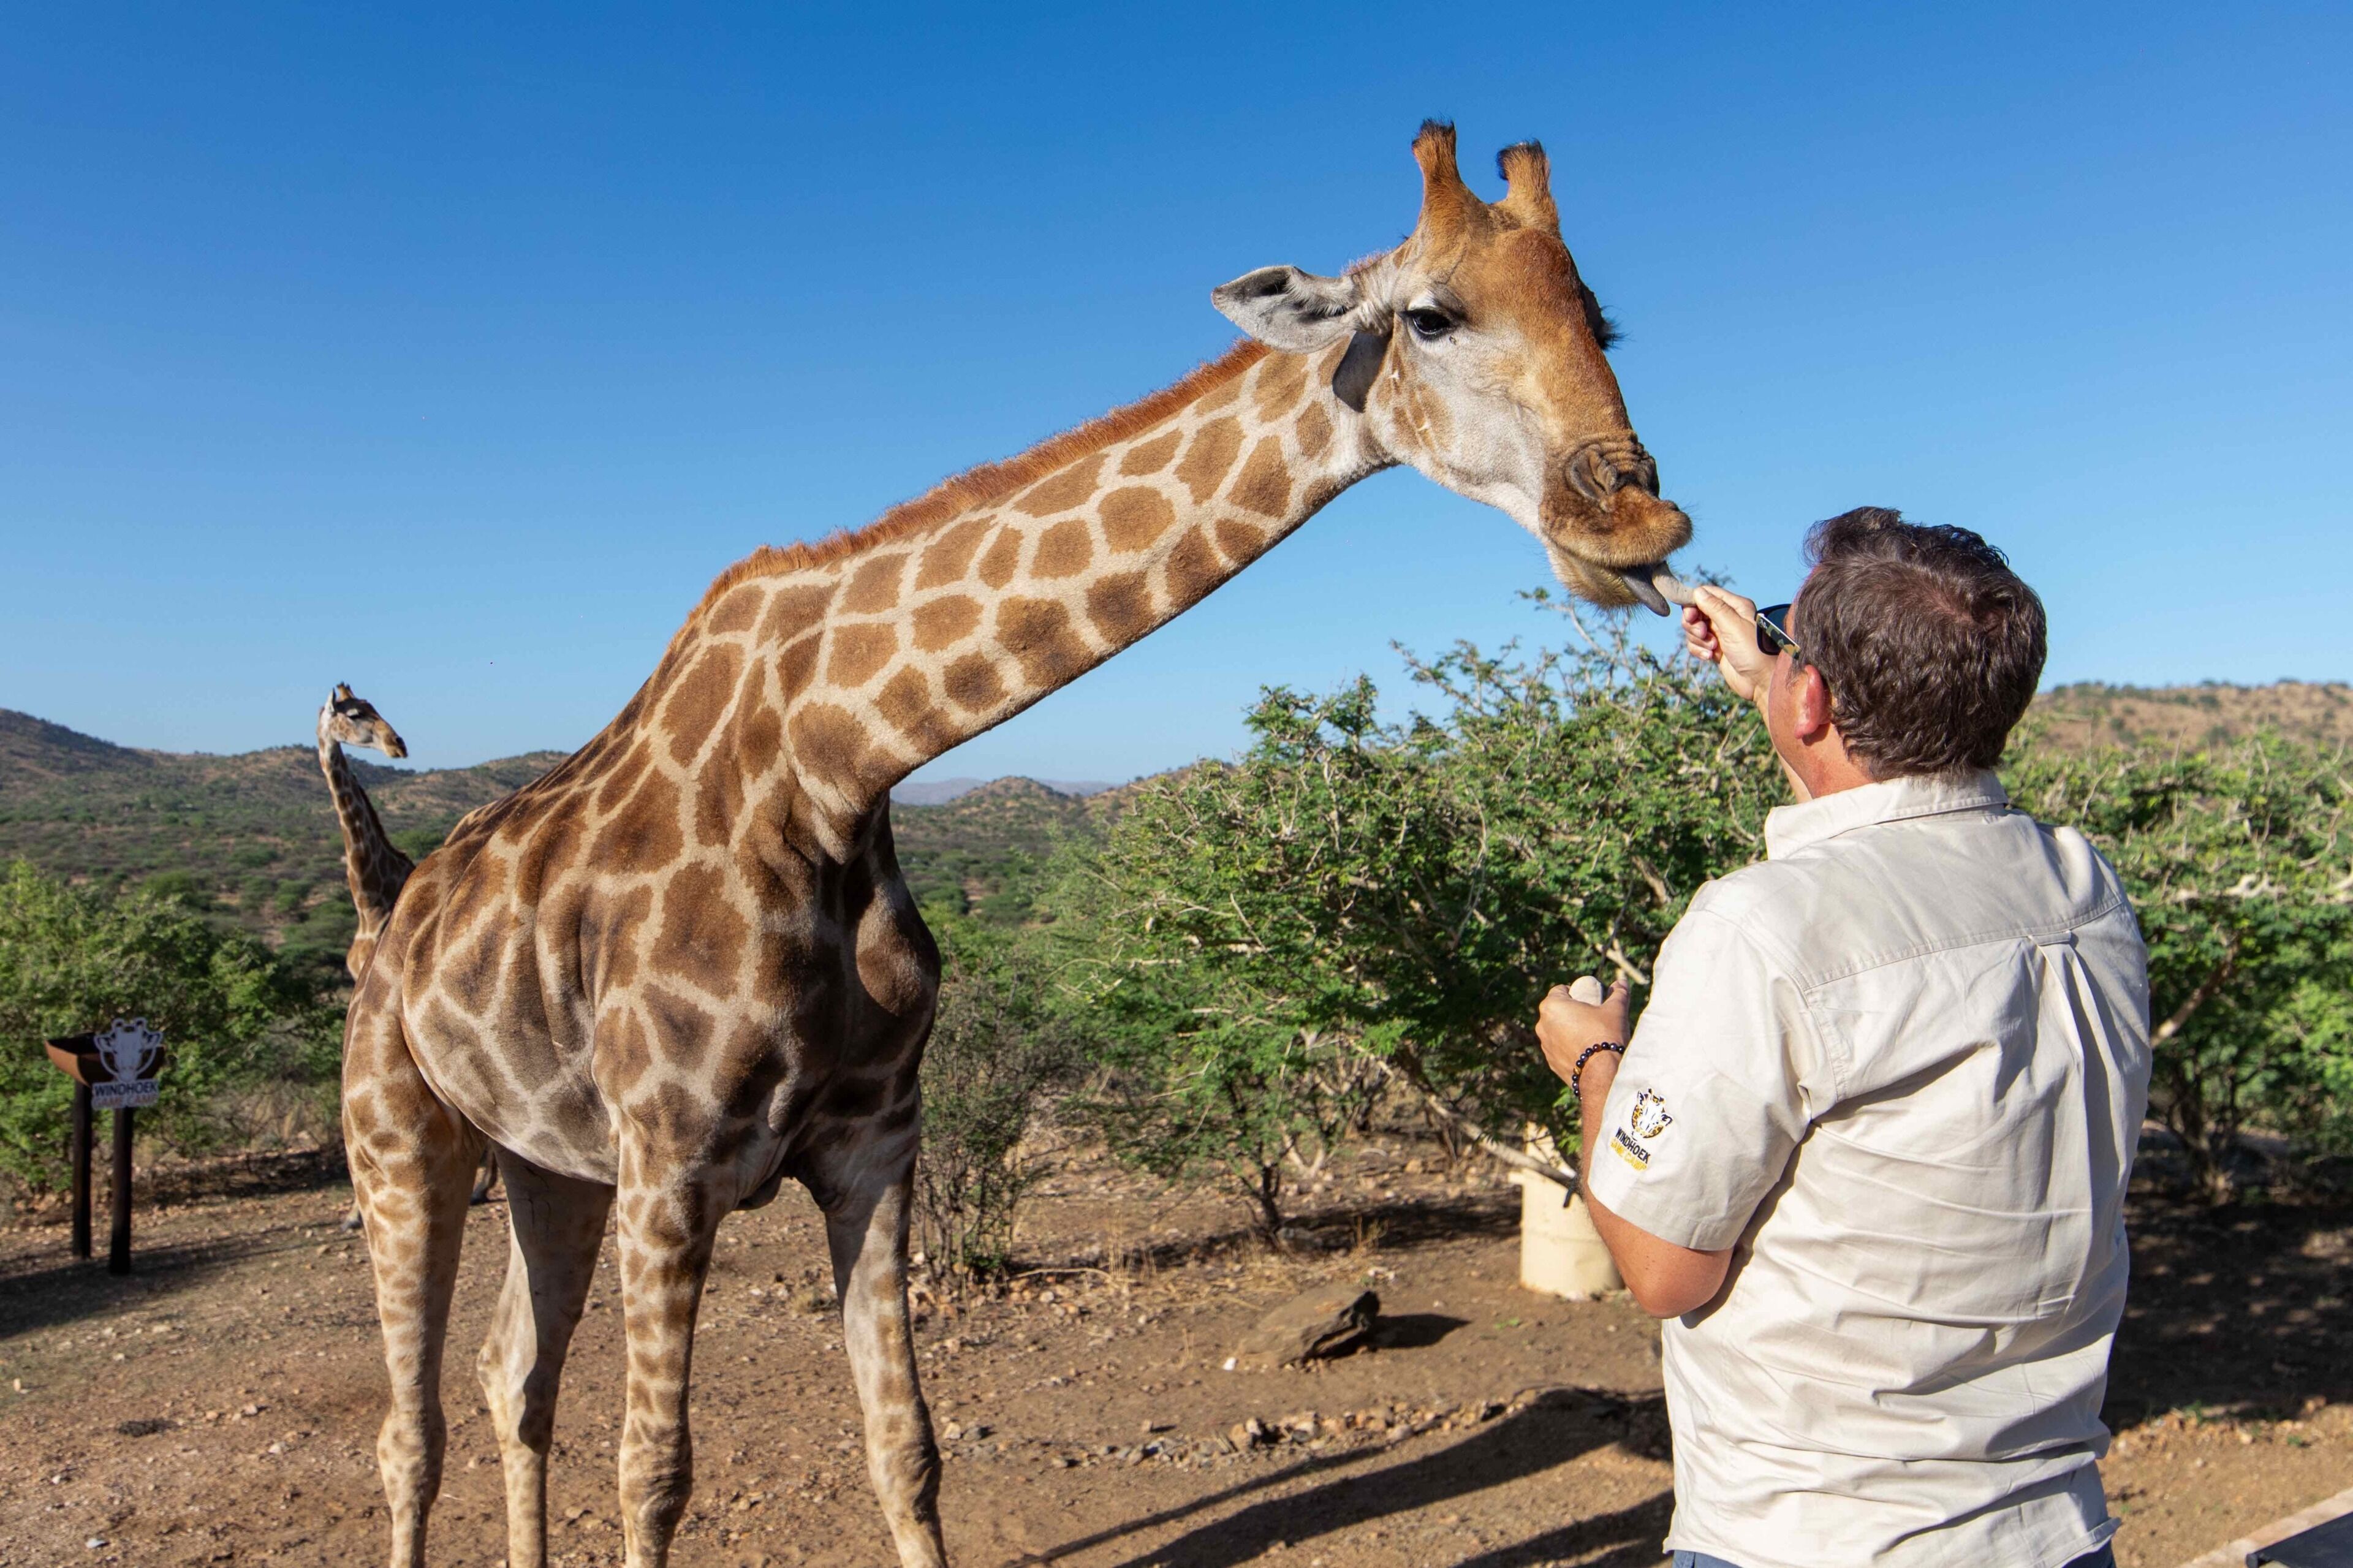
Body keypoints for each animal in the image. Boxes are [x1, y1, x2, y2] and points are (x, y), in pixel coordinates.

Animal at [342, 122, 1692, 1568]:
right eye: (1433, 316)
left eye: (1599, 317)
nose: (1638, 520)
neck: (837, 759)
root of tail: (390, 910)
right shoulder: (673, 1154)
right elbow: (653, 1472)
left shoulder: (875, 1139)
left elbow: (908, 1447)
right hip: (403, 1134)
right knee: (414, 1423)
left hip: (547, 1158)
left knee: (512, 1372)